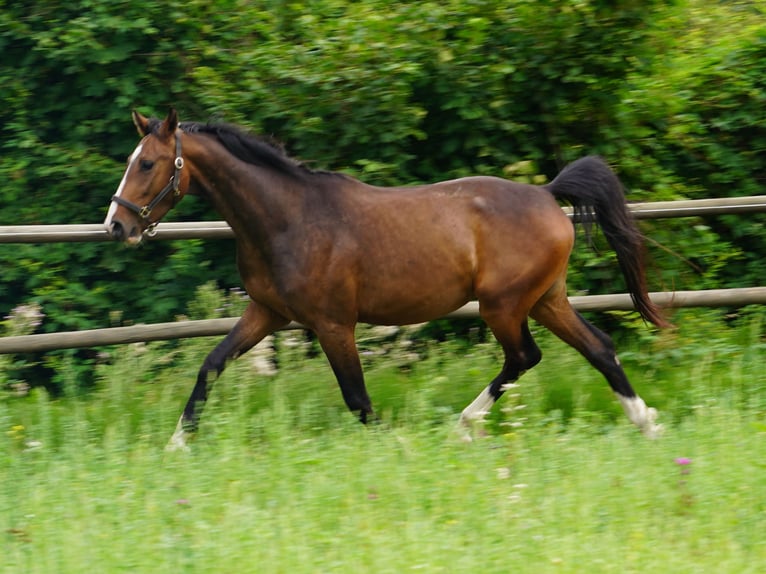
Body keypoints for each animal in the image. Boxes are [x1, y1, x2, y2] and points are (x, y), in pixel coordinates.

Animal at [103, 108, 672, 450]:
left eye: (148, 163)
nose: (117, 226)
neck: (288, 218)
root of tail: (548, 195)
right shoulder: (267, 313)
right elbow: (211, 365)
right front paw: (177, 443)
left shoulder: (334, 325)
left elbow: (357, 399)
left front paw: (393, 445)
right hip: (545, 299)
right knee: (598, 348)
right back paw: (647, 422)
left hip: (504, 305)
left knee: (524, 357)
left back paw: (464, 425)